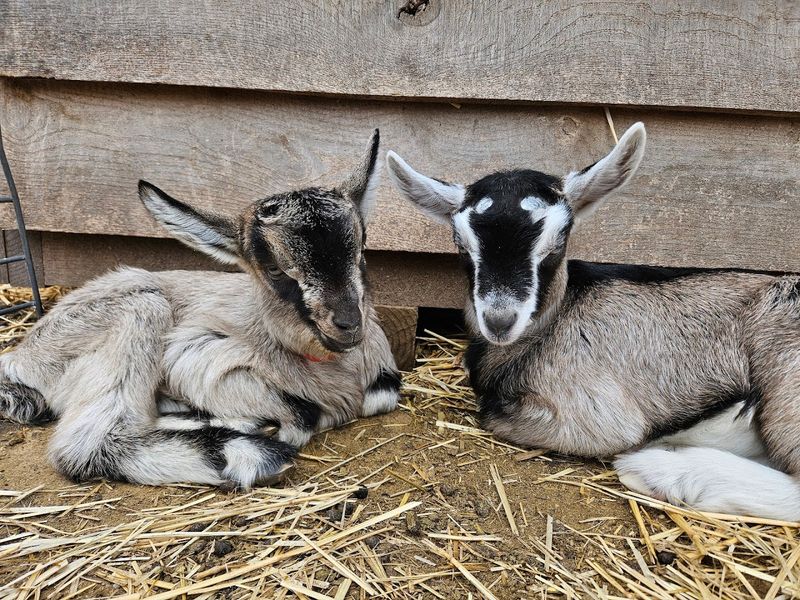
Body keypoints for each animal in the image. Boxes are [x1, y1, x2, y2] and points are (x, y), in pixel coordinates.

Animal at [0, 130, 400, 489]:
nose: (348, 323)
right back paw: (245, 451)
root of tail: (19, 356)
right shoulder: (194, 356)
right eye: (274, 269)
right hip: (138, 309)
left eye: (361, 251)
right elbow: (304, 412)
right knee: (85, 443)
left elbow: (380, 395)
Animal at [386, 123, 800, 521]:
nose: (500, 320)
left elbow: (493, 414)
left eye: (558, 241)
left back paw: (660, 472)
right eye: (461, 244)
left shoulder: (595, 416)